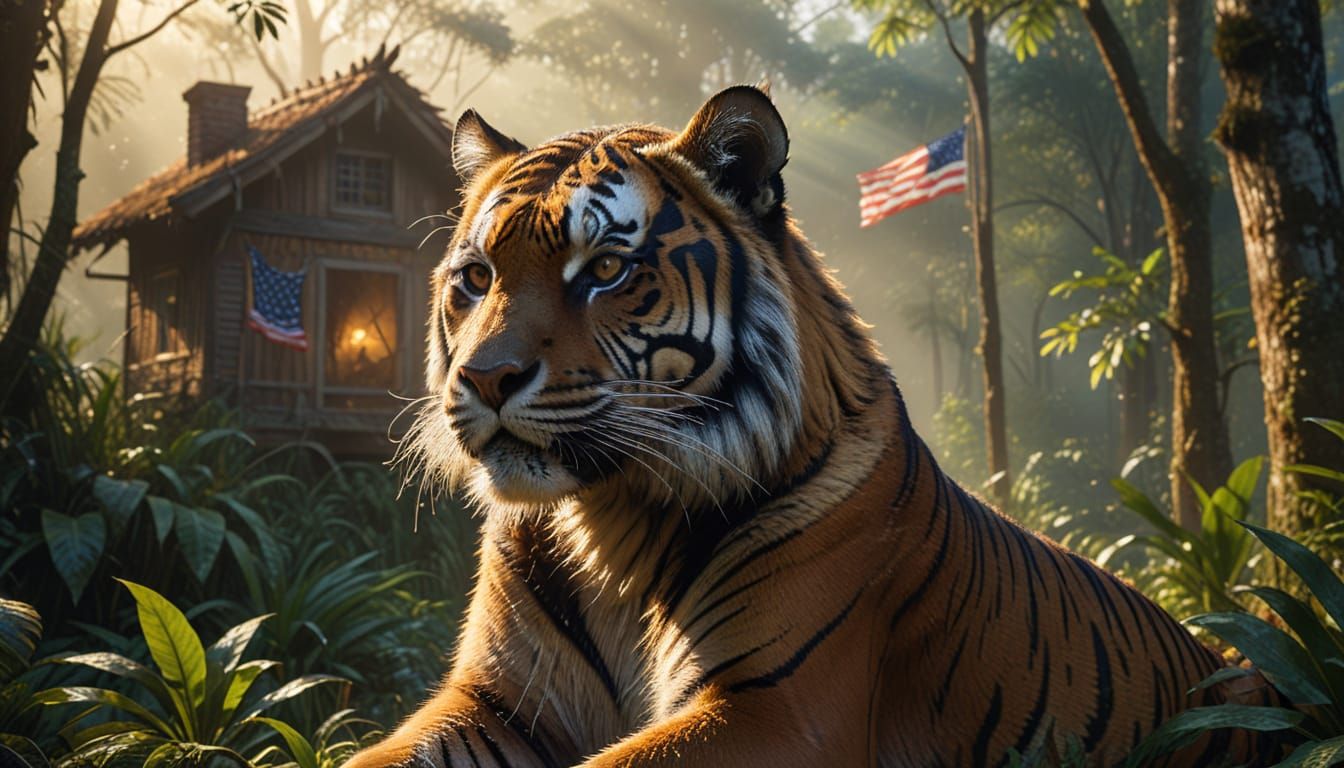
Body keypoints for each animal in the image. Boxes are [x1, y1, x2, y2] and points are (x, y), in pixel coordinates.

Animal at [346, 85, 1283, 768]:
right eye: (476, 276)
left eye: (605, 268)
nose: (484, 377)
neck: (608, 521)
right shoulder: (497, 700)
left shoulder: (775, 706)